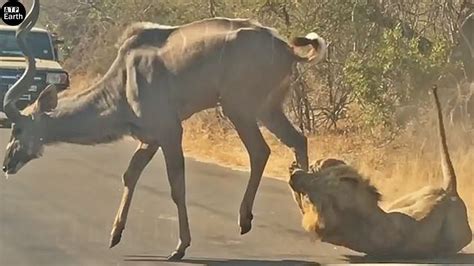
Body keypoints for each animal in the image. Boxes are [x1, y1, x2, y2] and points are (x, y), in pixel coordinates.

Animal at [3, 0, 328, 258]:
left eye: (17, 129)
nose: (7, 164)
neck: (124, 82)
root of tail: (287, 49)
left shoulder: (170, 131)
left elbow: (176, 186)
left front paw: (180, 247)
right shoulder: (150, 137)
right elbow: (130, 174)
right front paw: (114, 235)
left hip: (239, 108)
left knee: (261, 151)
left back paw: (245, 220)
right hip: (267, 109)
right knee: (298, 139)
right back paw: (306, 215)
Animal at [286, 86, 472, 256]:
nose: (294, 175)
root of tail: (451, 193)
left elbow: (314, 195)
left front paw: (307, 169)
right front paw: (302, 168)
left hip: (456, 232)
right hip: (412, 197)